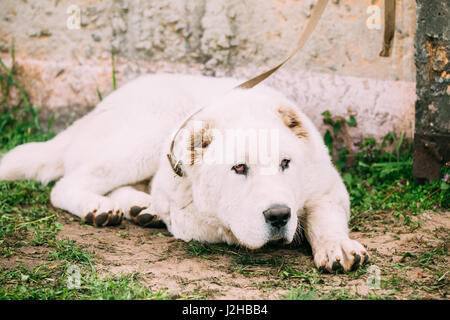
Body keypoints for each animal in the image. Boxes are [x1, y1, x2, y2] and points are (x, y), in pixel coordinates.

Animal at [0, 74, 370, 272]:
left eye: (285, 164)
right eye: (239, 168)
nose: (279, 215)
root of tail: (93, 112)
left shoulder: (327, 187)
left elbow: (324, 217)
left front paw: (336, 246)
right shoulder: (189, 211)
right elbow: (219, 223)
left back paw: (141, 207)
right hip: (147, 135)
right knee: (66, 184)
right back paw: (101, 208)